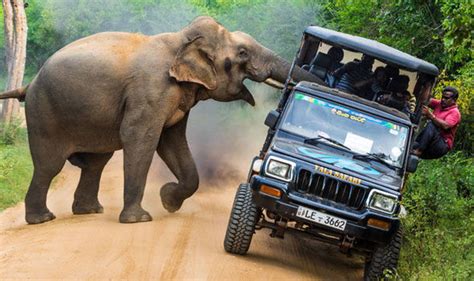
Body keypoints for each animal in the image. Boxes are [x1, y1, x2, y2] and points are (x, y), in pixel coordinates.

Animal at [0, 17, 324, 223]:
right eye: (242, 53)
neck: (180, 40)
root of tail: (29, 85)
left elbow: (172, 142)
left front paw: (168, 200)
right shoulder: (151, 91)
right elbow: (141, 138)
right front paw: (140, 219)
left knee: (96, 163)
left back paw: (90, 212)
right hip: (44, 114)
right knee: (50, 166)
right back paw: (43, 219)